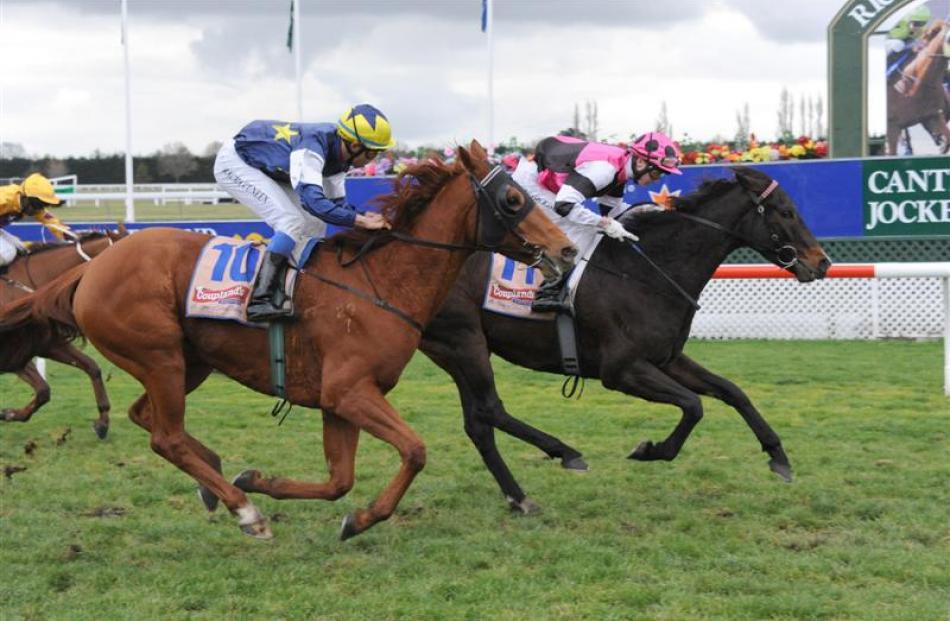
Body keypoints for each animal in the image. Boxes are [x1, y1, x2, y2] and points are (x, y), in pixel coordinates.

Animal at [0, 228, 125, 436]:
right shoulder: (14, 353)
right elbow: (43, 389)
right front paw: (9, 414)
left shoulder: (48, 344)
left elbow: (91, 367)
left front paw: (102, 422)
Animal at [420, 165, 828, 508]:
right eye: (786, 212)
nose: (821, 261)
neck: (647, 271)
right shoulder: (620, 370)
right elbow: (693, 405)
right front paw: (651, 450)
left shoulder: (666, 358)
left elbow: (732, 391)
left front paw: (778, 455)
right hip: (464, 341)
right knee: (490, 410)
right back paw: (565, 453)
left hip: (456, 350)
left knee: (478, 424)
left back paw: (518, 495)